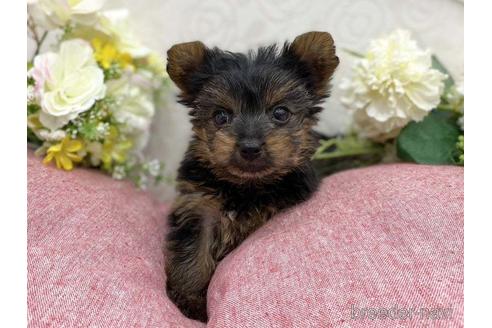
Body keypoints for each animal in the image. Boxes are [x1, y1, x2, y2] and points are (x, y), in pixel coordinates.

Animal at [164, 30, 338, 320]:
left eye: (280, 113)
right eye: (221, 116)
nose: (250, 147)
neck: (246, 185)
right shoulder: (198, 205)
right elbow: (192, 253)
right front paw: (189, 301)